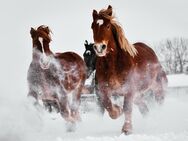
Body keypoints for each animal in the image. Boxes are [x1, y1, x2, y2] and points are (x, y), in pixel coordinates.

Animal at [90, 4, 167, 134]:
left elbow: (126, 108)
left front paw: (126, 129)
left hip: (157, 88)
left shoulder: (129, 89)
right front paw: (118, 110)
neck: (113, 65)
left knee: (159, 103)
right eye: (92, 27)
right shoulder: (103, 90)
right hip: (138, 96)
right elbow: (108, 106)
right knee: (145, 109)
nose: (99, 47)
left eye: (108, 26)